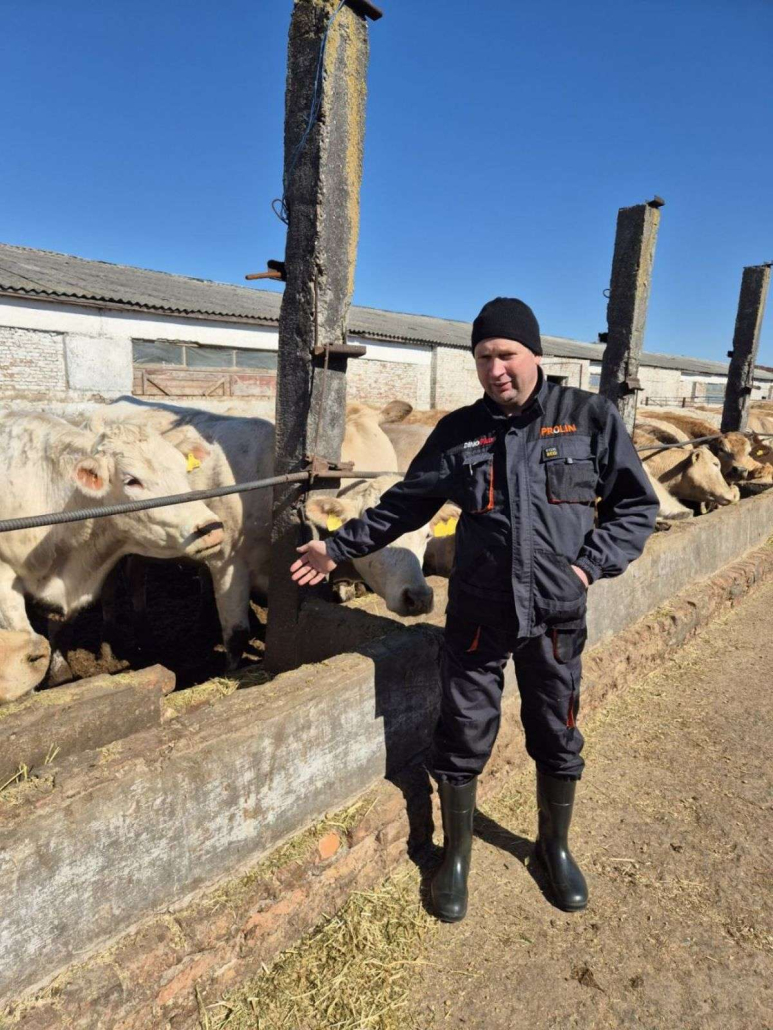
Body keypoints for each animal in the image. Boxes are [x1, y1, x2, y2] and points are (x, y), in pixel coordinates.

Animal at [0, 413, 224, 684]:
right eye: (132, 481)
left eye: (183, 469)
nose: (211, 527)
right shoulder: (5, 580)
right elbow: (27, 648)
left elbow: (59, 631)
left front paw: (60, 672)